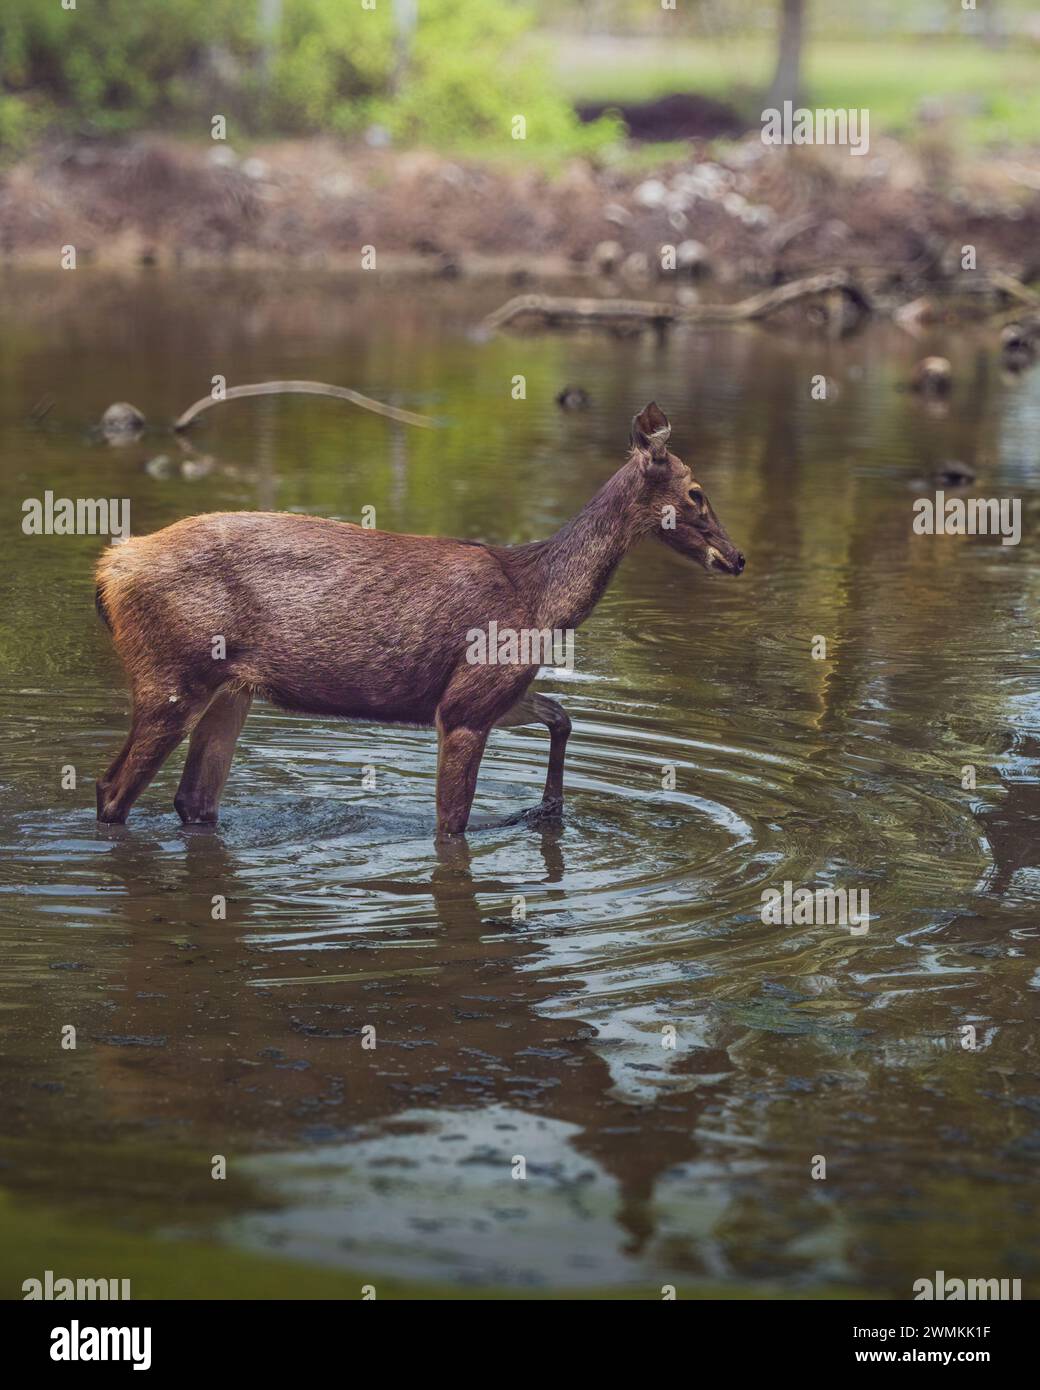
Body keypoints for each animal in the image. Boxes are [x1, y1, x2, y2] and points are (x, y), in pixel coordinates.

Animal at [95, 403, 739, 834]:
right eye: (697, 492)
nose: (738, 557)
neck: (541, 600)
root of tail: (109, 570)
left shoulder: (484, 692)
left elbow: (560, 714)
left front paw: (547, 807)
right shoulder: (464, 707)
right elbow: (451, 825)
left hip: (231, 689)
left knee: (192, 801)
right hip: (170, 676)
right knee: (111, 790)